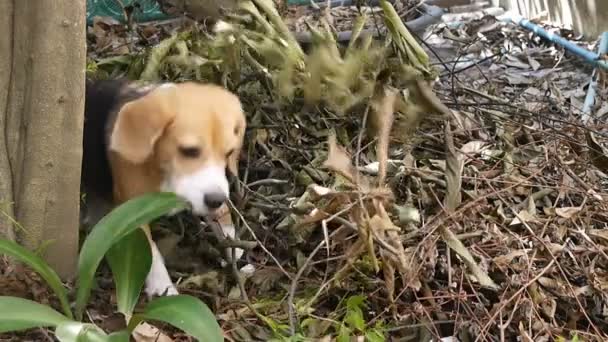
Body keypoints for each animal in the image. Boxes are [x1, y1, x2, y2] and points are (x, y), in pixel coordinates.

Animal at [82, 79, 246, 296]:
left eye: (228, 153)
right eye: (189, 151)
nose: (214, 200)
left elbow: (224, 208)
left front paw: (232, 240)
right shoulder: (132, 212)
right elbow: (149, 251)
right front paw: (162, 286)